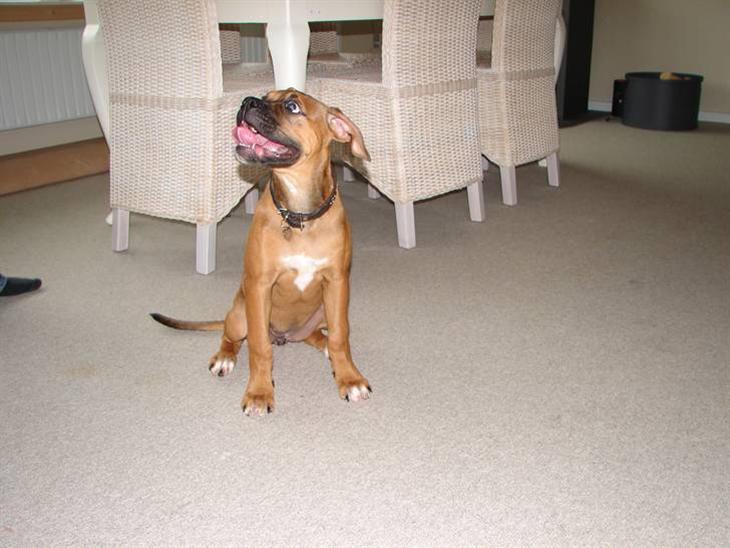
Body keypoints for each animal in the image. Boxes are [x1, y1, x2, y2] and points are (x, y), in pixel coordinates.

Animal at [151, 89, 371, 416]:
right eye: (266, 95)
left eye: (292, 106)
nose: (247, 102)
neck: (298, 216)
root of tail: (284, 335)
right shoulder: (259, 286)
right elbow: (258, 347)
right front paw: (259, 392)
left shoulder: (337, 283)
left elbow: (341, 336)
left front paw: (349, 378)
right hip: (240, 312)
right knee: (231, 337)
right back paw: (224, 358)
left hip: (322, 310)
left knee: (318, 335)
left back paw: (324, 349)